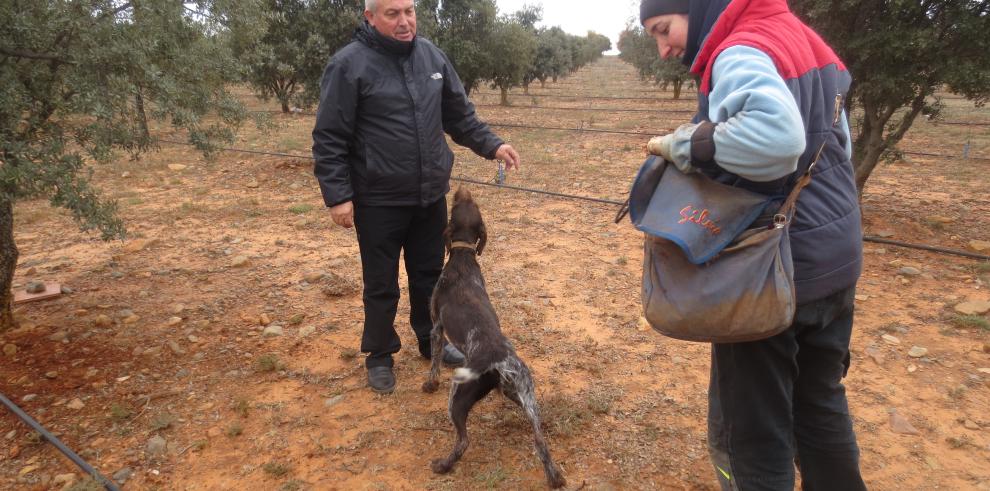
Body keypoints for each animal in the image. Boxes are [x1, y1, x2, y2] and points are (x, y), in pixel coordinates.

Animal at [422, 187, 564, 488]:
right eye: (469, 202)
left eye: (457, 204)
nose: (461, 188)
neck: (463, 258)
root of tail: (498, 362)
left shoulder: (436, 327)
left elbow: (434, 362)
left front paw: (430, 384)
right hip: (525, 395)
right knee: (541, 442)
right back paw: (555, 478)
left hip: (458, 396)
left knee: (463, 441)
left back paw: (443, 465)